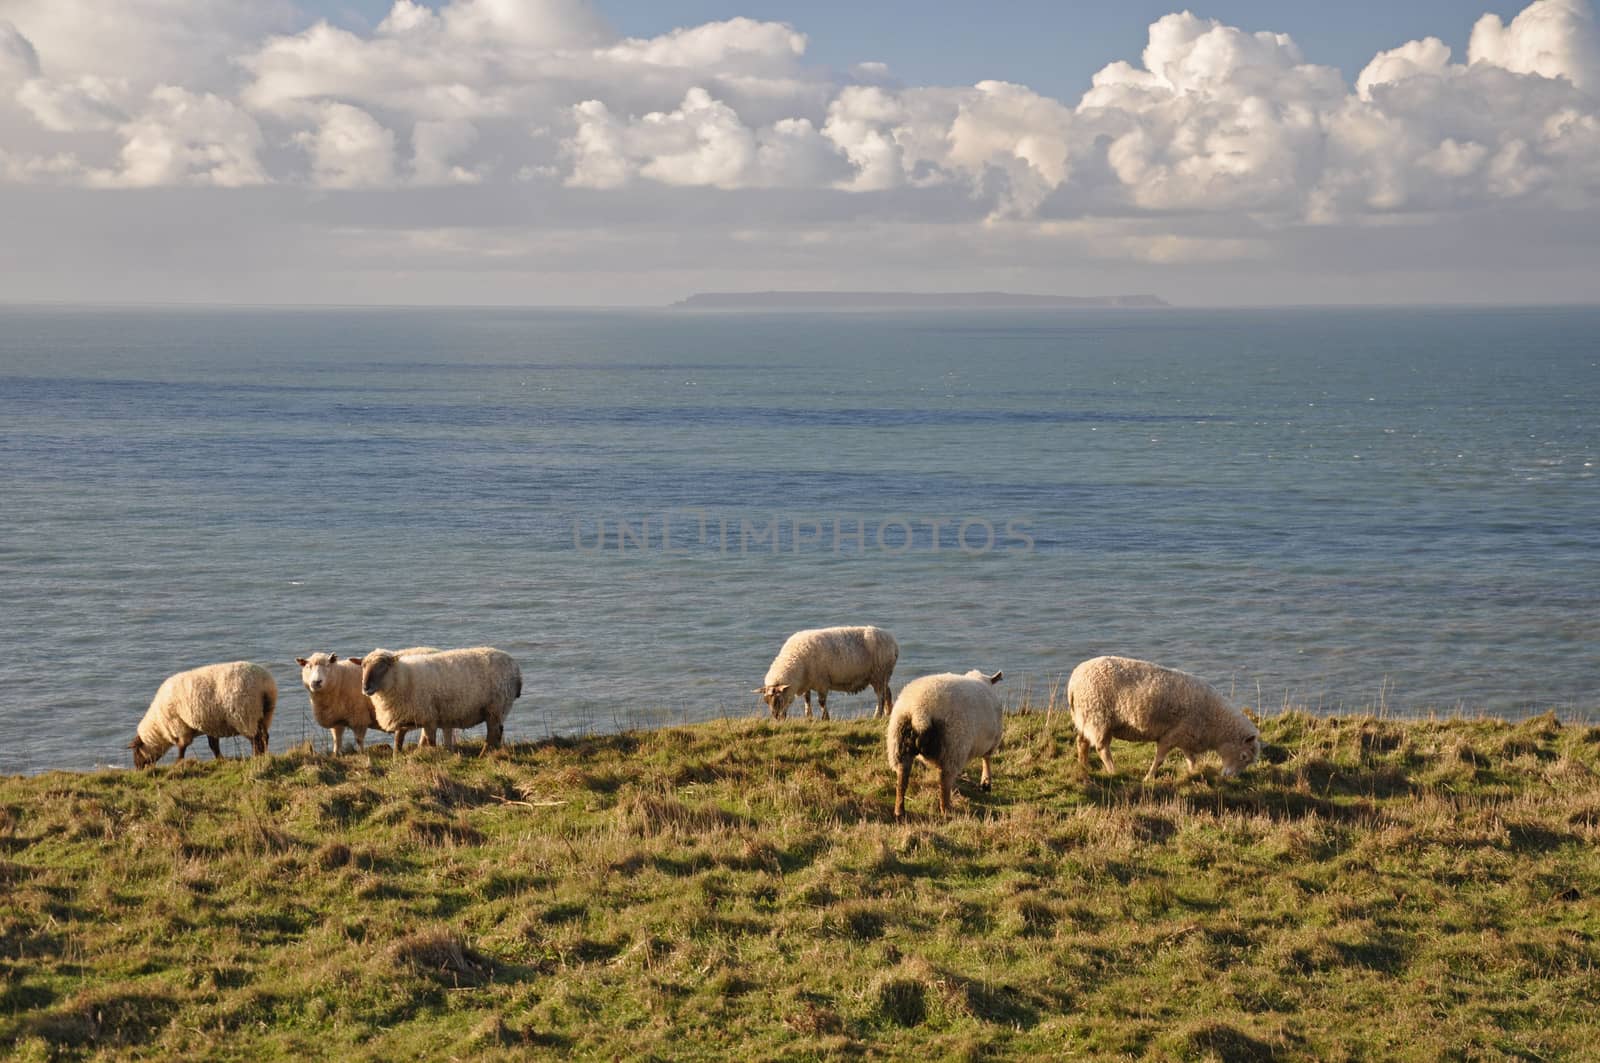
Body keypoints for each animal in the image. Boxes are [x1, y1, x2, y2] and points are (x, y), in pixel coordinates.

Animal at [130, 659, 278, 768]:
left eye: (136, 751)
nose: (138, 769)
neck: (159, 726)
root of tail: (265, 684)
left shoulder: (180, 726)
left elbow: (182, 746)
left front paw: (178, 763)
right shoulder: (210, 725)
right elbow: (213, 745)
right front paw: (220, 759)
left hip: (245, 716)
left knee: (255, 739)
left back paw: (256, 756)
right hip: (264, 715)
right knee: (264, 737)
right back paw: (264, 755)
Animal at [360, 643, 521, 752]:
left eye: (383, 666)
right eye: (363, 666)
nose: (365, 687)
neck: (404, 677)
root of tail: (515, 667)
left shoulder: (429, 717)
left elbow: (430, 740)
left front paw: (433, 755)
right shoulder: (410, 717)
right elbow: (399, 740)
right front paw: (398, 757)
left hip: (495, 707)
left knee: (493, 733)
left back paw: (484, 754)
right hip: (496, 710)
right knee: (498, 732)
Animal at [752, 624, 896, 723]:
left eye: (779, 699)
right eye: (766, 701)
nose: (776, 718)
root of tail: (892, 641)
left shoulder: (821, 682)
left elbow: (821, 702)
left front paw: (825, 718)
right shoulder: (807, 682)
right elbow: (807, 699)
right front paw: (808, 716)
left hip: (879, 674)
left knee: (880, 696)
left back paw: (877, 715)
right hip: (882, 676)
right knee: (887, 693)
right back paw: (888, 712)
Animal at [889, 669, 998, 816]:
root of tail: (919, 711)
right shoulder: (991, 742)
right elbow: (987, 760)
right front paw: (986, 783)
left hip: (899, 744)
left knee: (902, 777)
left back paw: (899, 810)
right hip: (953, 746)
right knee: (945, 780)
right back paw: (946, 808)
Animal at [1062, 656, 1260, 781]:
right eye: (1243, 756)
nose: (1229, 778)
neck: (1215, 723)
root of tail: (1074, 681)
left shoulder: (1185, 736)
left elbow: (1191, 758)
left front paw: (1193, 773)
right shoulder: (1171, 735)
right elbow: (1160, 759)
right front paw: (1149, 777)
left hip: (1085, 717)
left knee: (1082, 742)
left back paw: (1084, 766)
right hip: (1099, 718)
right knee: (1102, 748)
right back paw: (1113, 771)